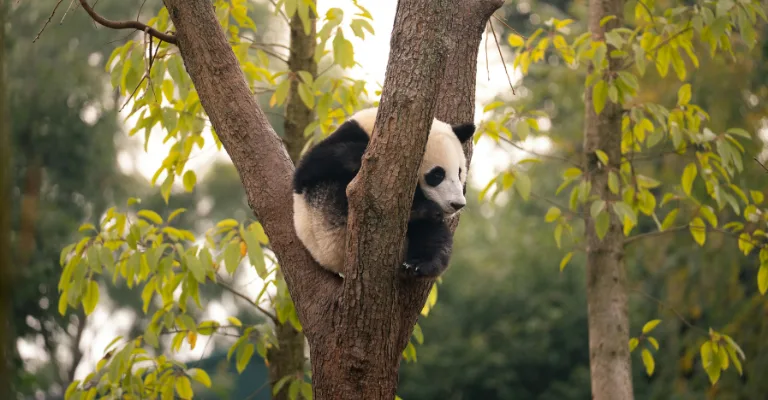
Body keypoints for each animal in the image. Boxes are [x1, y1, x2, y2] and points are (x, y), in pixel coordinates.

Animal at [292, 107, 476, 278]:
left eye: (459, 172)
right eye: (437, 174)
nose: (457, 204)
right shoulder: (345, 135)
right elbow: (309, 168)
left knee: (434, 235)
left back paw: (420, 263)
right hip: (325, 218)